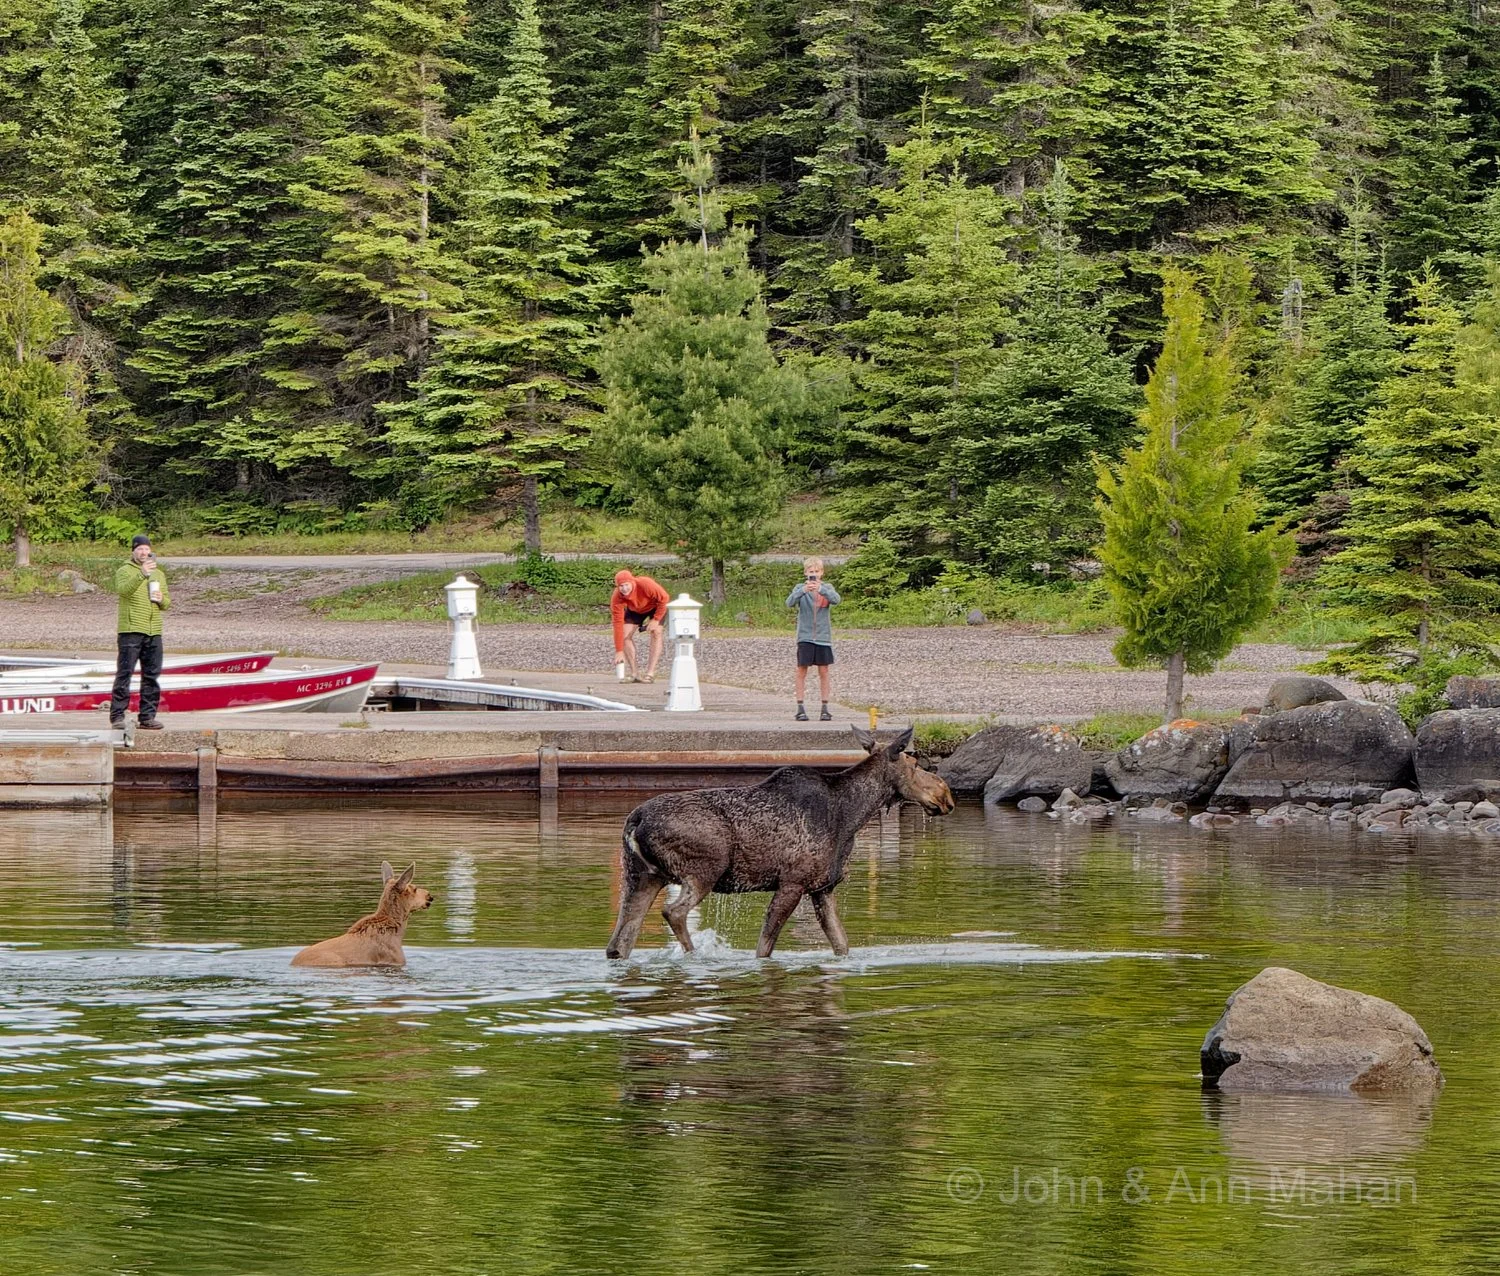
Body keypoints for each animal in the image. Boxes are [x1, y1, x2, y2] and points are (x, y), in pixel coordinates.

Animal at [606, 726, 954, 960]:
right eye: (915, 764)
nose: (946, 796)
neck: (852, 815)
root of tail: (635, 820)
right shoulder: (792, 882)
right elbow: (764, 948)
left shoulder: (822, 888)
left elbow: (842, 946)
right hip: (704, 870)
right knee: (673, 912)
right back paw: (695, 956)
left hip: (641, 876)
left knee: (619, 942)